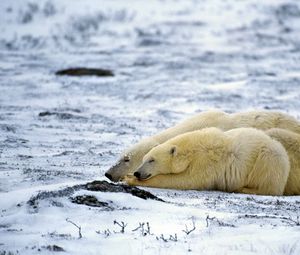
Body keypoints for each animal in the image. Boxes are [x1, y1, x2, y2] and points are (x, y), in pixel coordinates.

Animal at [125, 128, 290, 196]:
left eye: (151, 160)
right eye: (144, 159)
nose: (137, 172)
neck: (191, 151)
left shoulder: (205, 163)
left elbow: (187, 180)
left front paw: (129, 179)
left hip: (268, 159)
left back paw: (243, 189)